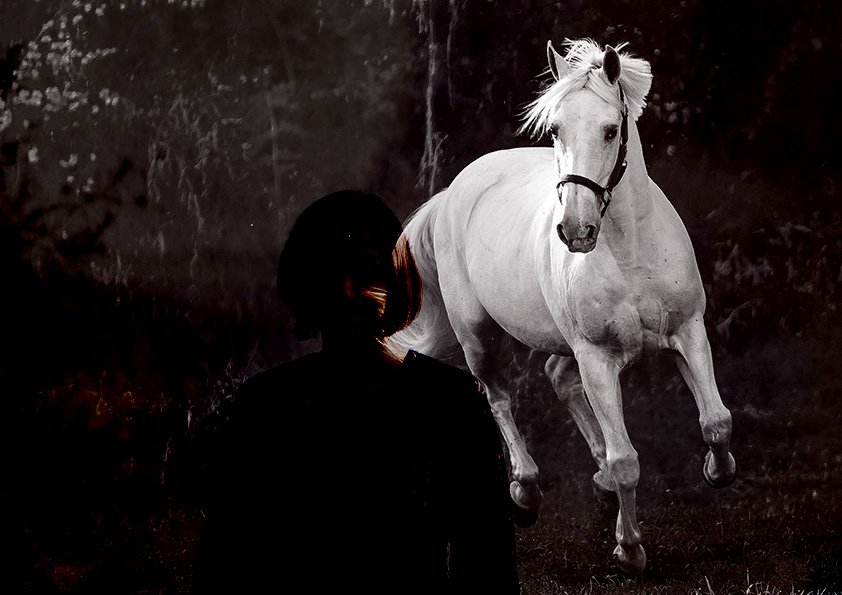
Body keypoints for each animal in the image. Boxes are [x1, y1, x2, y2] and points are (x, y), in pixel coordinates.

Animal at [391, 38, 737, 573]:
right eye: (555, 129)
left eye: (611, 129)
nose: (575, 230)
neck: (628, 249)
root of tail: (454, 192)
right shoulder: (596, 357)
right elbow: (625, 459)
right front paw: (630, 551)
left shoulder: (688, 331)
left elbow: (716, 422)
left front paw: (716, 471)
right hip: (478, 336)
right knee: (498, 397)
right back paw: (526, 493)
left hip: (561, 343)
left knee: (557, 377)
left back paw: (597, 488)